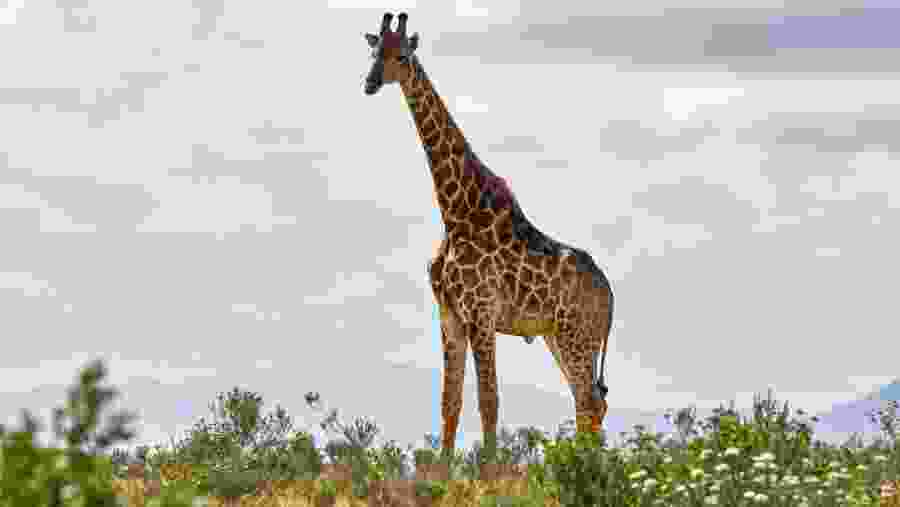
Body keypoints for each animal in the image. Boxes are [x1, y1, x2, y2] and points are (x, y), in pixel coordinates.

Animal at [363, 12, 614, 461]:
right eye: (374, 51)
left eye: (402, 55)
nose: (371, 82)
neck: (454, 211)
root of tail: (612, 294)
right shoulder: (449, 314)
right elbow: (450, 402)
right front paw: (443, 475)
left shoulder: (481, 312)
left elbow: (489, 401)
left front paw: (489, 473)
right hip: (558, 337)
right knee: (589, 404)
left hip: (578, 335)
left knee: (588, 402)